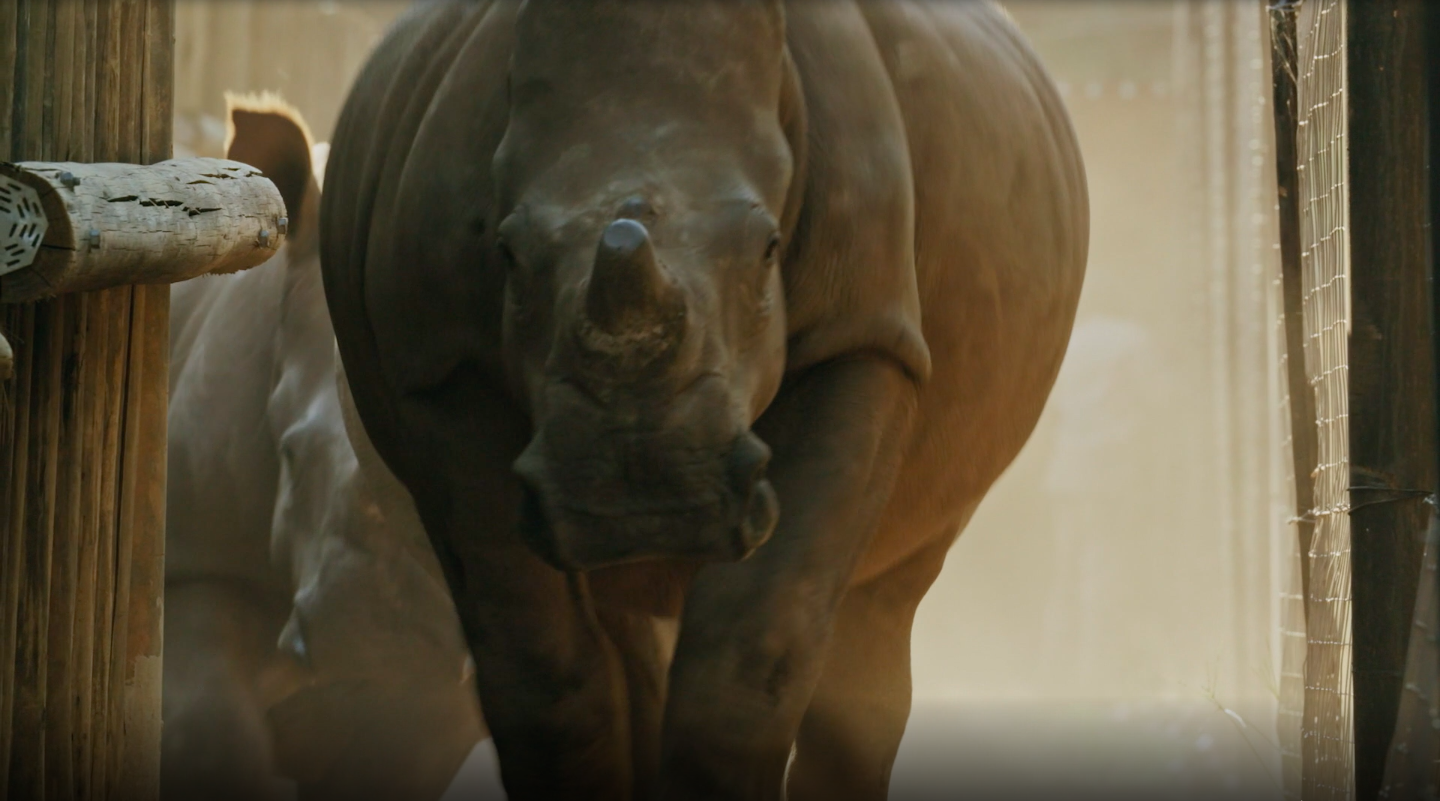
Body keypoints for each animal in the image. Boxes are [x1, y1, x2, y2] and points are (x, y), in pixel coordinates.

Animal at [320, 2, 1088, 799]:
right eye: (507, 252)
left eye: (769, 248)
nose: (644, 499)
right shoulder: (442, 366)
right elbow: (541, 668)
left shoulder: (859, 331)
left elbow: (749, 651)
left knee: (884, 601)